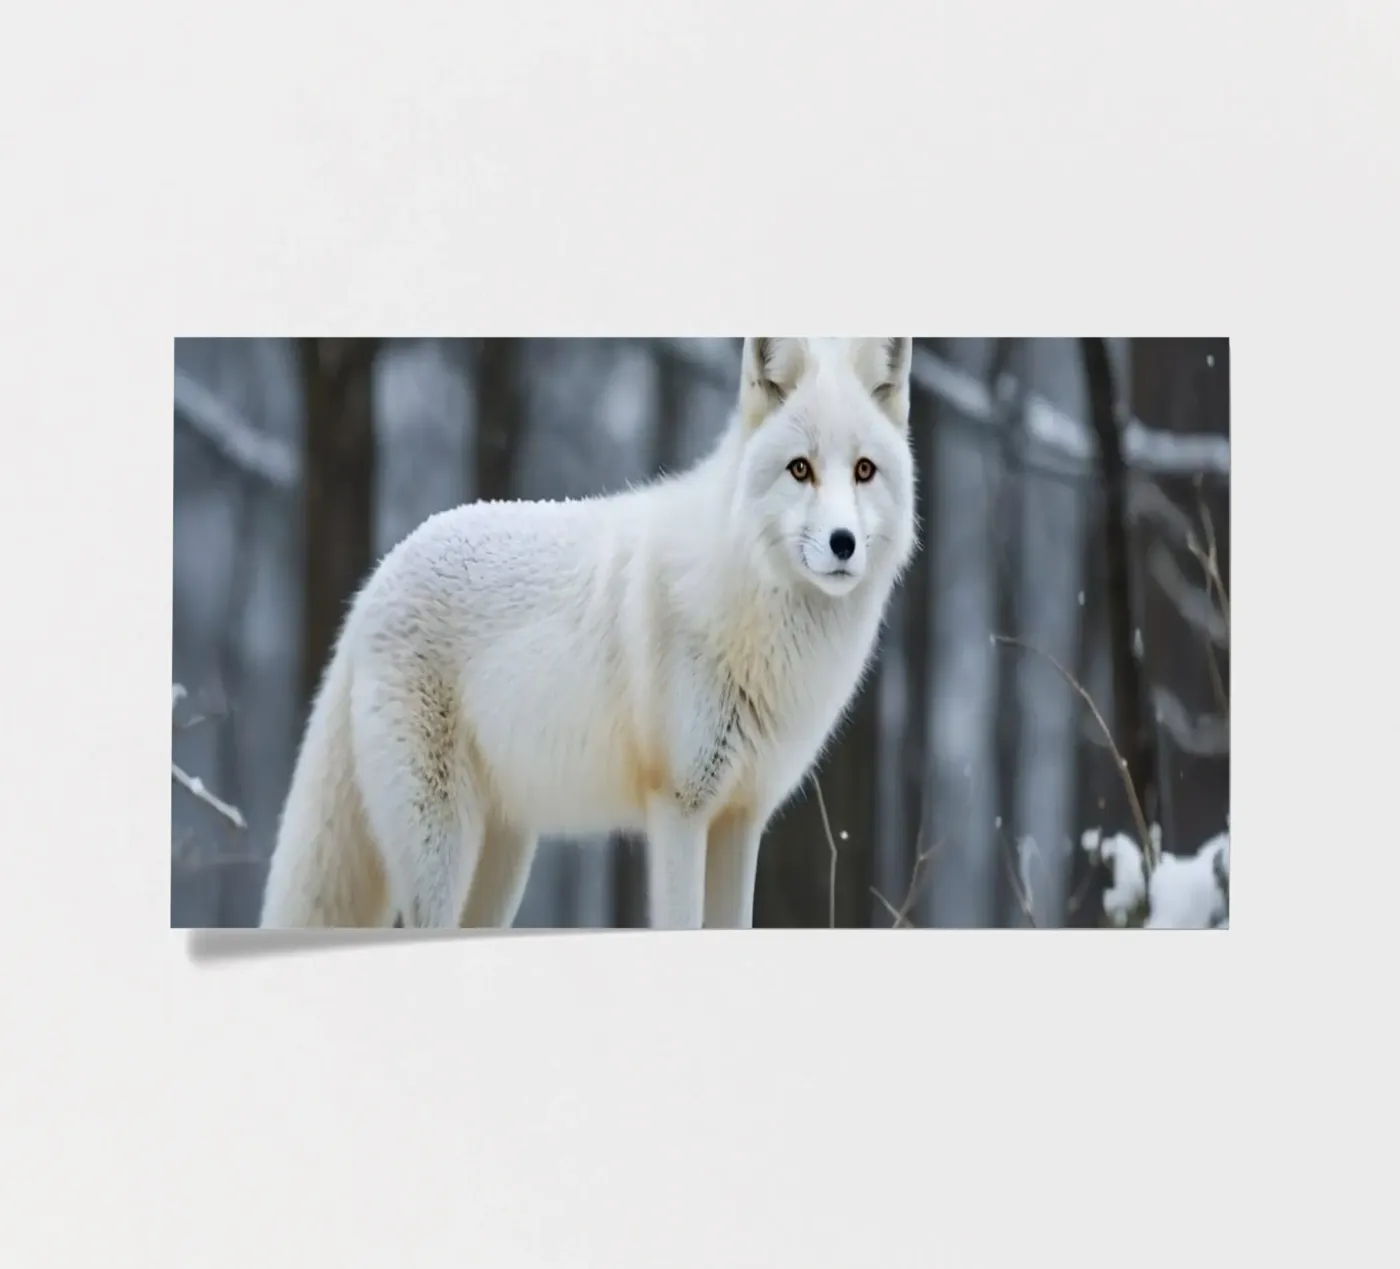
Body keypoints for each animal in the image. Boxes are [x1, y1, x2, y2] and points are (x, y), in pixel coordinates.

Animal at [259, 337, 919, 930]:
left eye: (864, 471)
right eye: (800, 469)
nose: (842, 543)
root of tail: (377, 577)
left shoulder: (741, 817)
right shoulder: (680, 810)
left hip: (504, 859)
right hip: (440, 850)